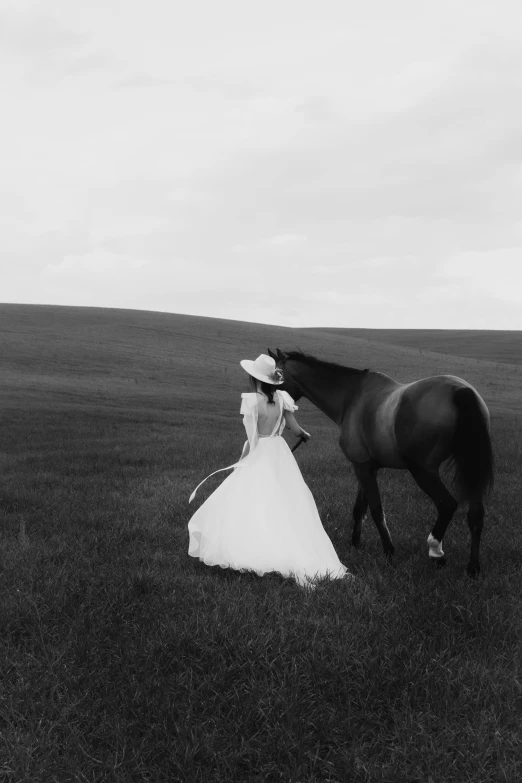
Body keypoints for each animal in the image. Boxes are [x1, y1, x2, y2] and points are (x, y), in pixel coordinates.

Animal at [268, 350, 492, 576]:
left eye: (274, 376)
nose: (268, 401)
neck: (350, 397)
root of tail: (460, 390)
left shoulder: (361, 466)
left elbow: (376, 510)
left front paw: (389, 551)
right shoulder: (368, 467)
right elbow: (360, 508)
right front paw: (355, 544)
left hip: (423, 471)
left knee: (447, 505)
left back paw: (436, 552)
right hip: (470, 469)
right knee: (476, 515)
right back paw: (473, 568)